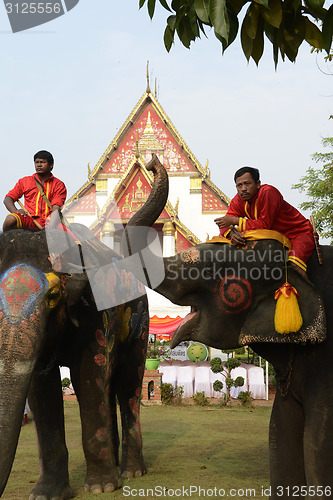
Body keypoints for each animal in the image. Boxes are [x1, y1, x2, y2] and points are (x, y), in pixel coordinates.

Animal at [0, 225, 149, 498]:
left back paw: (131, 473)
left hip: (140, 321)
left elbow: (88, 376)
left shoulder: (95, 313)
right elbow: (41, 390)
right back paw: (115, 466)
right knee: (108, 387)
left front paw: (101, 487)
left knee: (128, 385)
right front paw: (46, 494)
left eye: (54, 295)